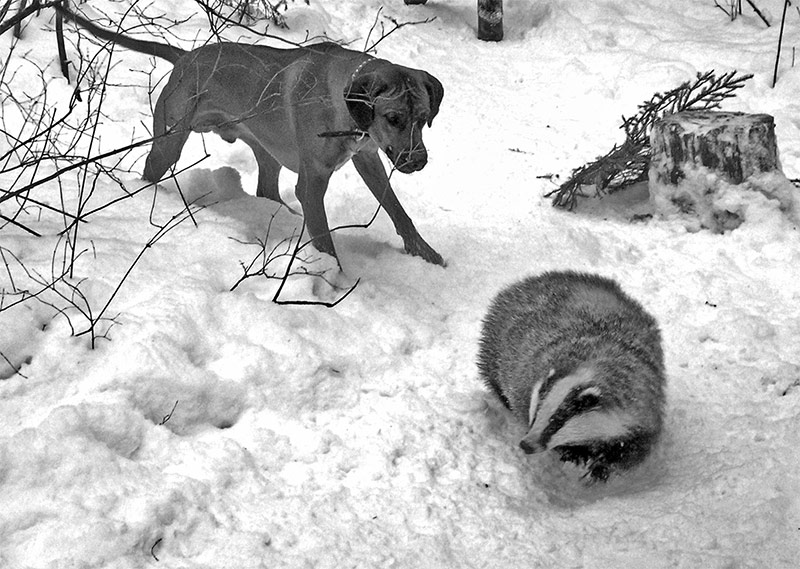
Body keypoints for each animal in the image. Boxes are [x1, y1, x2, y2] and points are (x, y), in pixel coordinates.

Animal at [57, 5, 444, 266]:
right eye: (393, 118)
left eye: (424, 118)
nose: (419, 161)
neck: (341, 102)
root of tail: (185, 57)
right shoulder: (313, 182)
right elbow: (323, 239)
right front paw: (333, 278)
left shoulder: (367, 156)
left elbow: (398, 210)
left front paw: (423, 252)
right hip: (168, 142)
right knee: (153, 169)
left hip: (265, 151)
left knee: (266, 190)